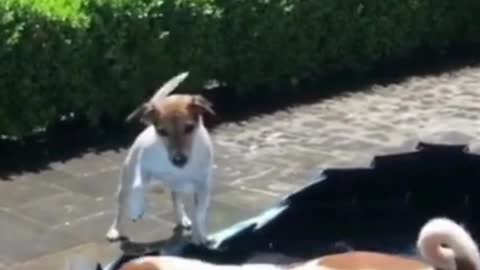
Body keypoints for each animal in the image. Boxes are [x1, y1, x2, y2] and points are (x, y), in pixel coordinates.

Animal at [108, 71, 217, 245]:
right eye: (162, 131)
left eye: (189, 128)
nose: (178, 159)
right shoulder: (142, 164)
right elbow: (138, 185)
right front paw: (136, 209)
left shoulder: (203, 187)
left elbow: (199, 214)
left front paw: (199, 235)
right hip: (125, 184)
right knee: (121, 207)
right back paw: (115, 230)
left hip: (178, 187)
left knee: (176, 199)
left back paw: (183, 219)